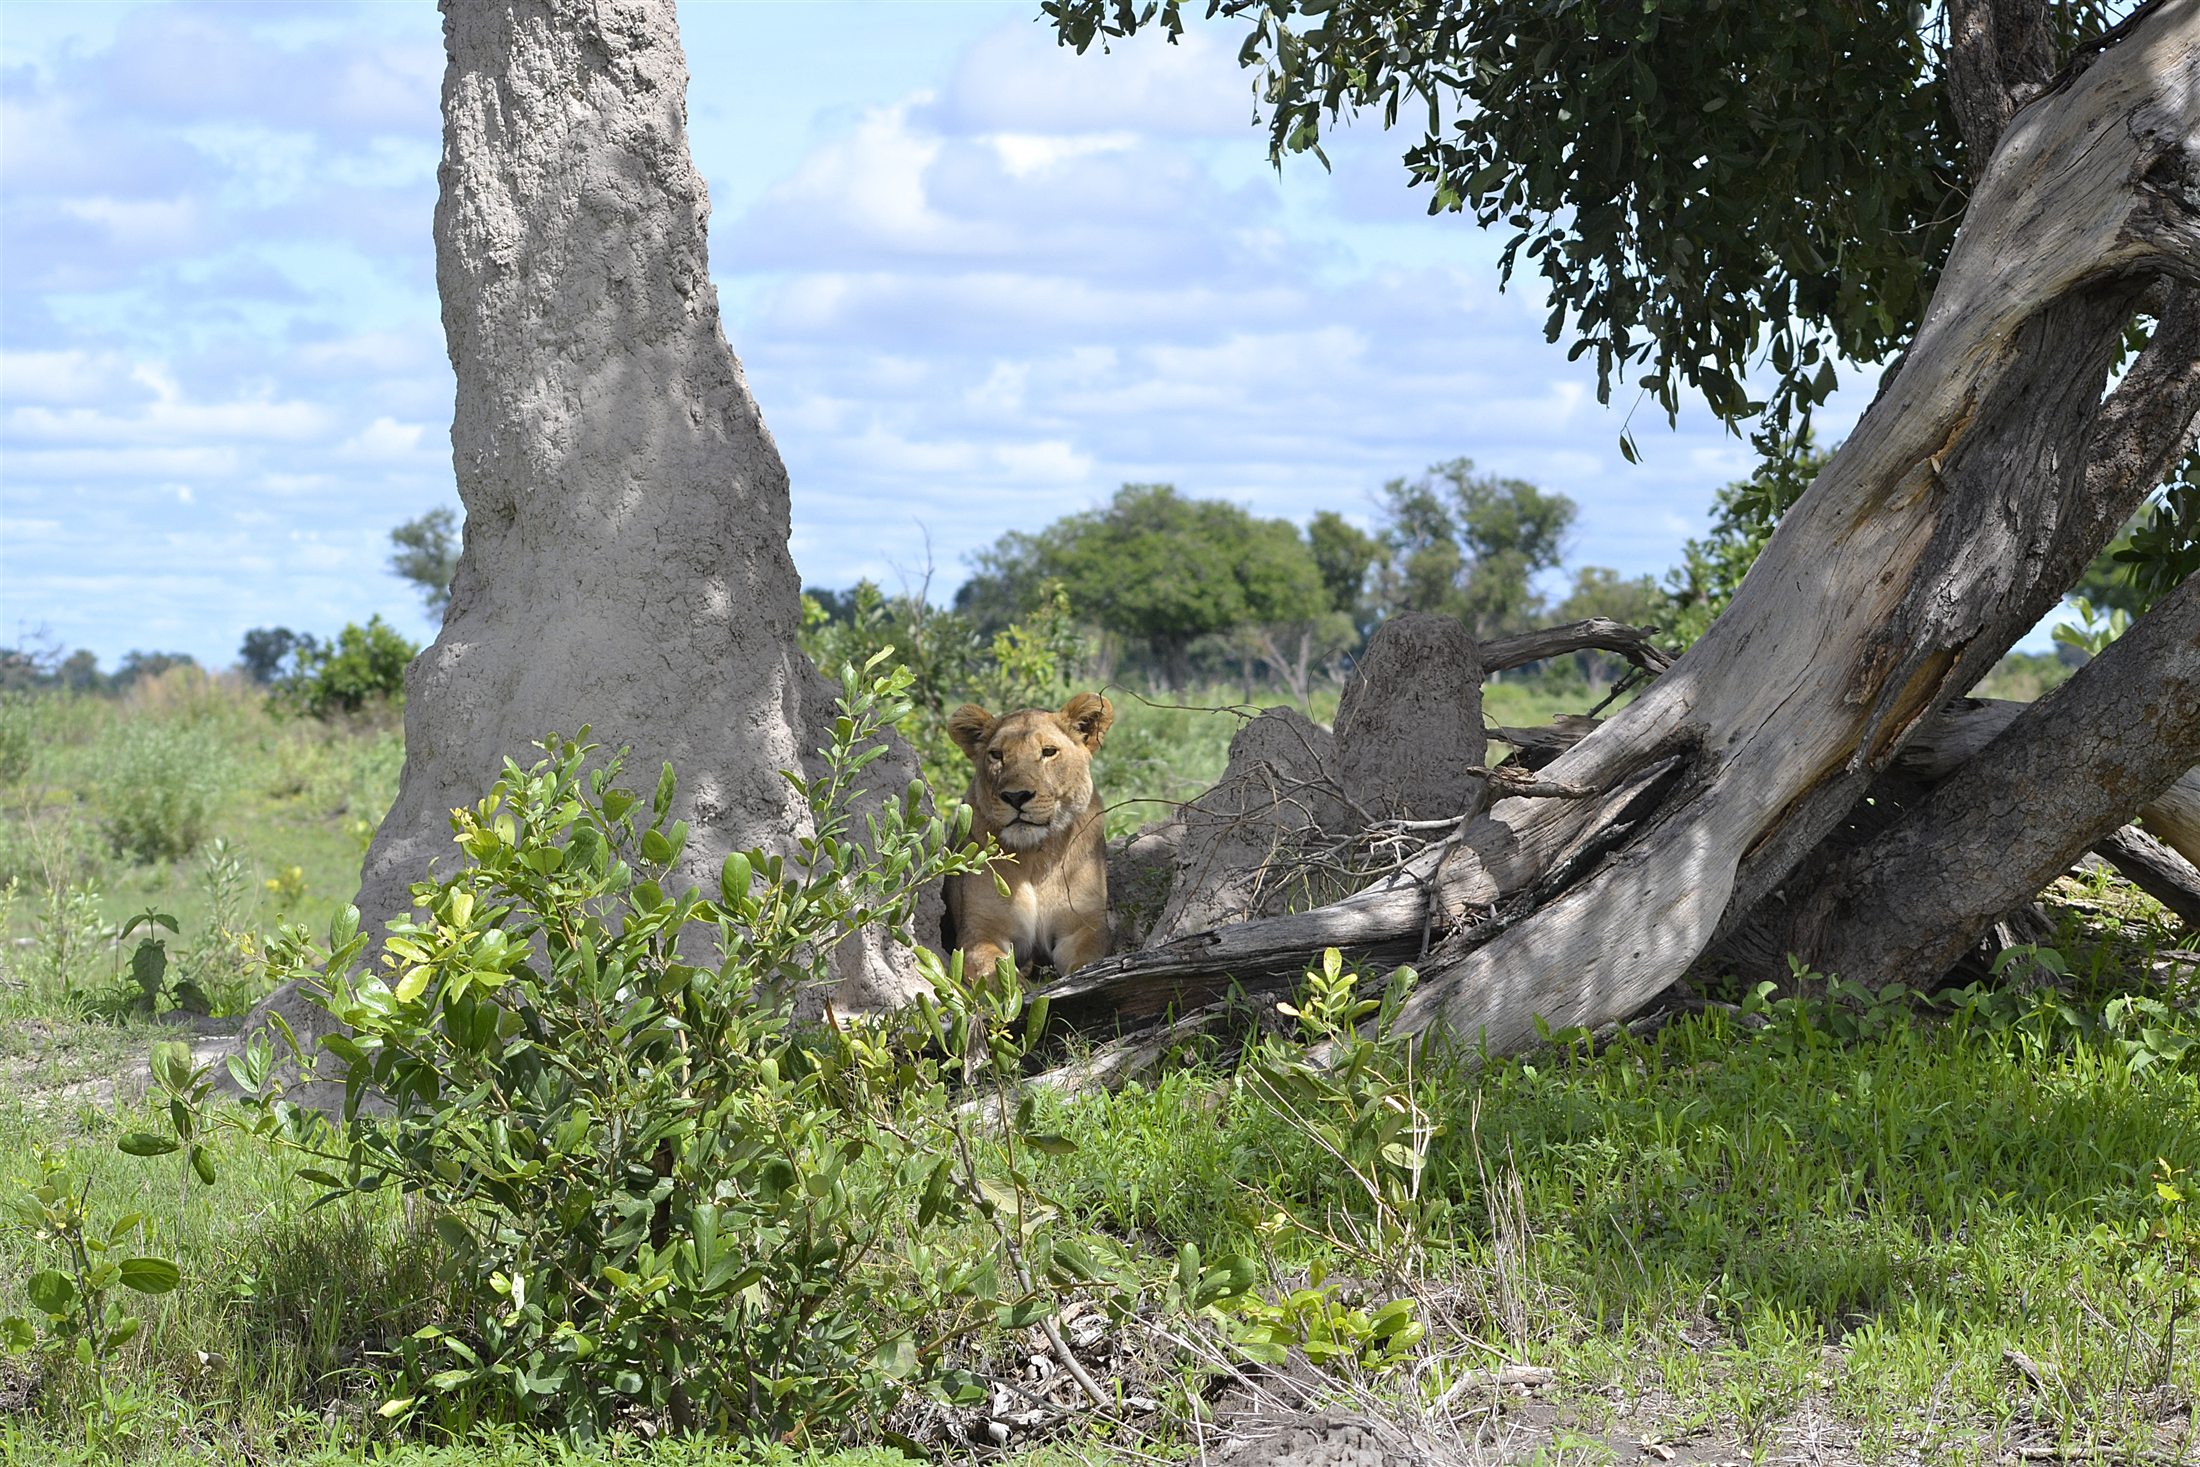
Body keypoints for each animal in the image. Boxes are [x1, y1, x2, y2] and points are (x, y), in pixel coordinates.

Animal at [942, 692, 1114, 979]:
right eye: (996, 755)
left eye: (1048, 752)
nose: (1016, 796)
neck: (1035, 855)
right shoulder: (980, 929)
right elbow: (994, 968)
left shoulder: (1083, 925)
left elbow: (1087, 958)